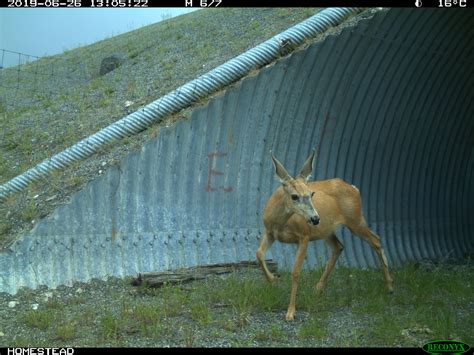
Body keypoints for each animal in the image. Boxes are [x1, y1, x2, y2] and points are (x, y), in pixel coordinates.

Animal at [258, 150, 394, 322]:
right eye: (294, 196)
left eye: (311, 194)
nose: (315, 218)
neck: (280, 222)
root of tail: (354, 188)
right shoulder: (269, 232)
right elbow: (259, 253)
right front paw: (272, 279)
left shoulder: (304, 235)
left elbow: (295, 272)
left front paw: (290, 312)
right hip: (327, 230)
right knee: (339, 247)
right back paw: (318, 289)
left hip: (355, 219)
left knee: (376, 239)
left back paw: (390, 287)